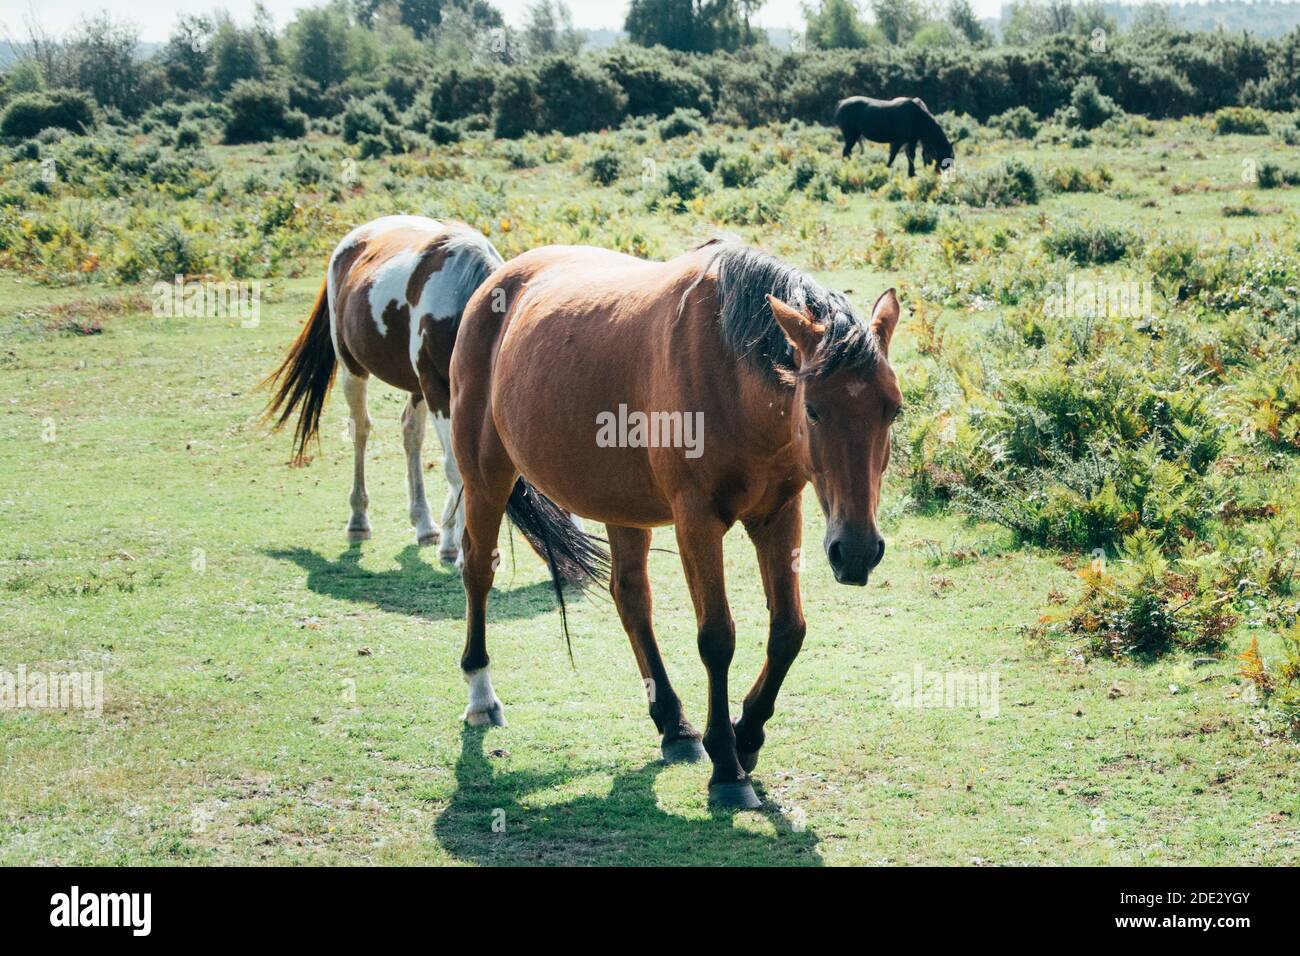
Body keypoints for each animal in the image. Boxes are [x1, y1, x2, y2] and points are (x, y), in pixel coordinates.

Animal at [263, 215, 502, 563]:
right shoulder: (438, 388)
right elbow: (455, 468)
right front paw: (456, 549)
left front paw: (448, 538)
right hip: (353, 368)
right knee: (360, 430)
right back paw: (358, 520)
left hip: (415, 384)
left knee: (410, 433)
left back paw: (424, 524)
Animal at [449, 238, 902, 808]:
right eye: (815, 410)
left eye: (894, 410)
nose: (858, 550)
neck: (730, 371)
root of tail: (498, 278)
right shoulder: (697, 520)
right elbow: (717, 638)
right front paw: (728, 768)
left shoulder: (778, 514)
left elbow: (788, 630)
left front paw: (747, 735)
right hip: (486, 477)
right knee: (478, 571)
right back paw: (481, 696)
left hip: (619, 505)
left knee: (631, 599)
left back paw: (674, 724)